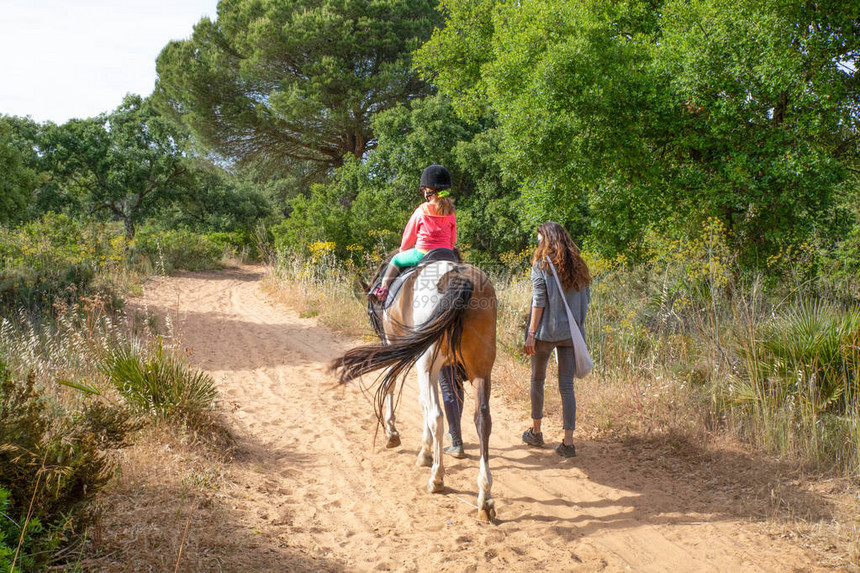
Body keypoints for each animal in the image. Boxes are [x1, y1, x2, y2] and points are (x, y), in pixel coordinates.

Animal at [332, 260, 500, 524]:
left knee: (437, 415)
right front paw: (426, 449)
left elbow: (394, 387)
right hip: (481, 368)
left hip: (427, 361)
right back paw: (484, 497)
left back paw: (437, 478)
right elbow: (424, 402)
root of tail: (458, 276)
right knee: (482, 420)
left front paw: (394, 434)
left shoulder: (396, 347)